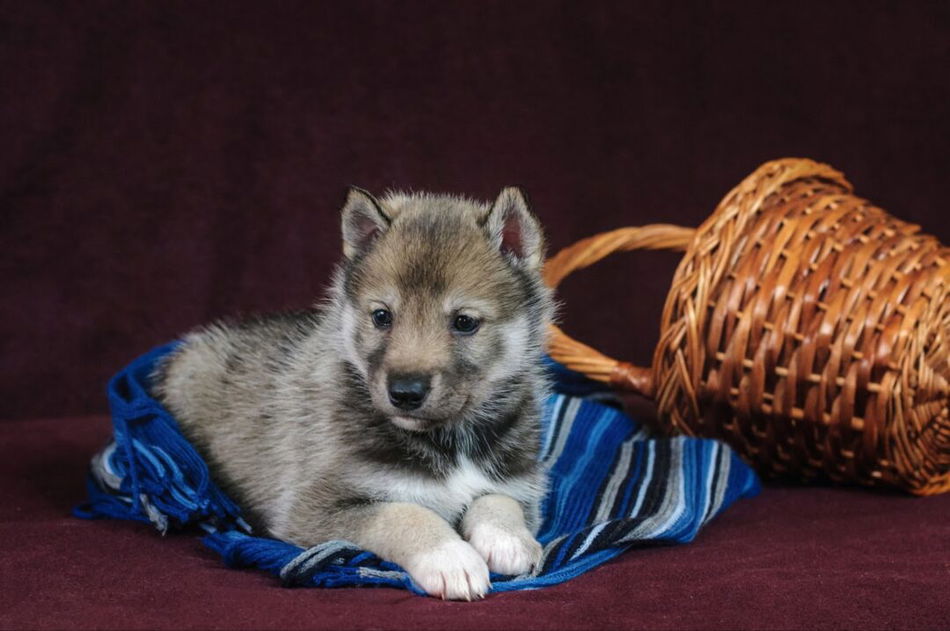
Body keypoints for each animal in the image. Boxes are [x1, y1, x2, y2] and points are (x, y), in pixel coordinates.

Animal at [152, 185, 556, 600]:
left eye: (464, 322)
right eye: (382, 316)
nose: (404, 393)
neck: (449, 440)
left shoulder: (520, 485)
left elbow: (498, 498)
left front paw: (508, 539)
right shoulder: (315, 508)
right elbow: (404, 513)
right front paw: (450, 558)